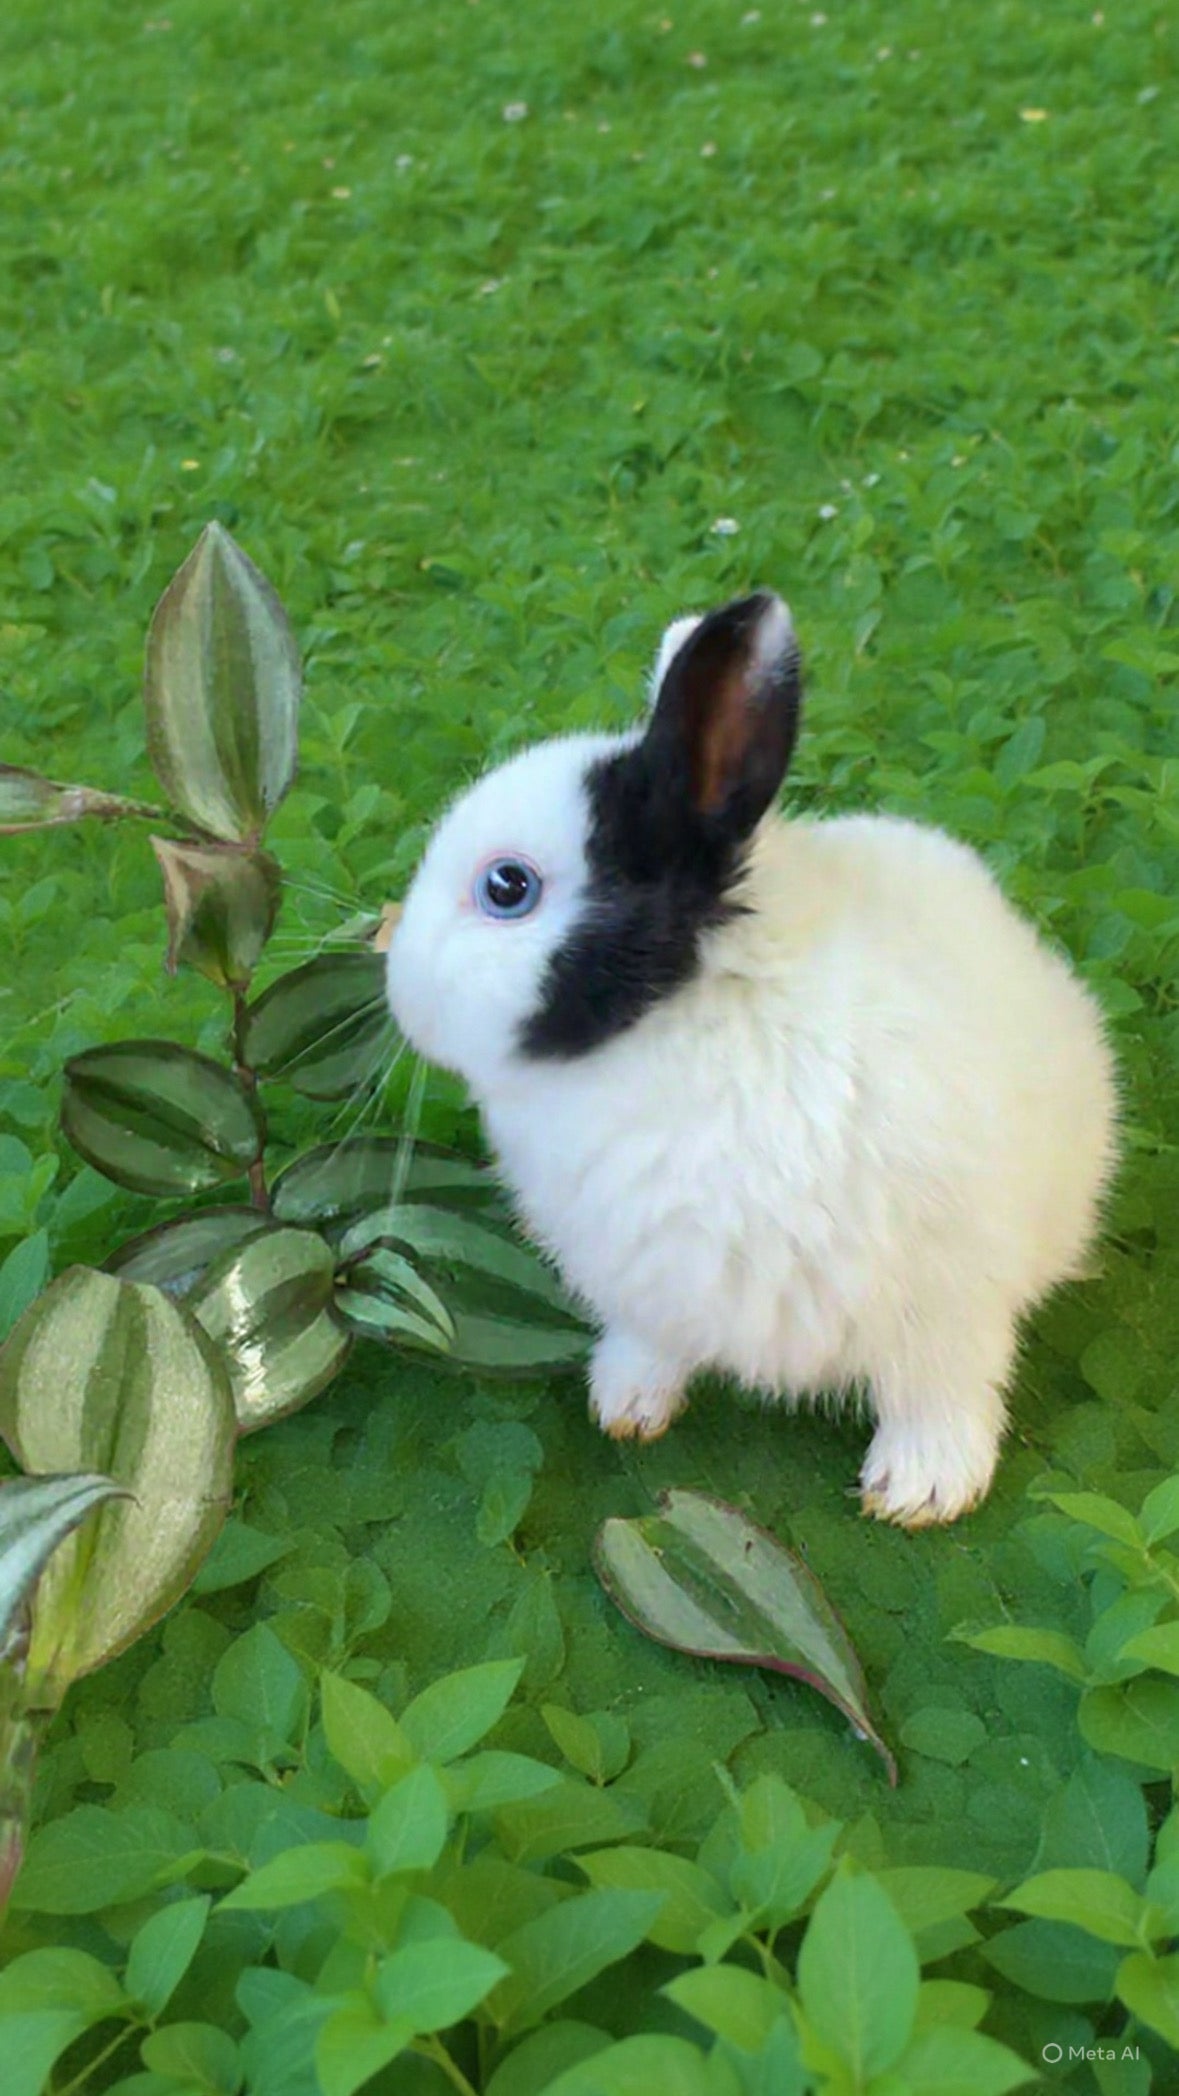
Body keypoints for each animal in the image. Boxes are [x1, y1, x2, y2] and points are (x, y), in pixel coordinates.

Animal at [385, 591, 1118, 1526]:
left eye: (506, 887)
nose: (395, 982)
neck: (692, 1016)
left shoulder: (946, 1296)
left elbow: (939, 1390)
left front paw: (922, 1488)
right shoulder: (646, 1282)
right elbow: (651, 1345)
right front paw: (624, 1406)